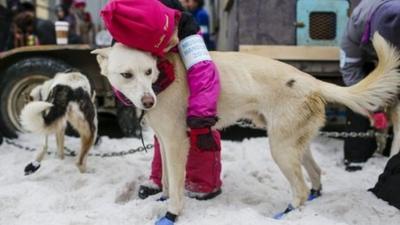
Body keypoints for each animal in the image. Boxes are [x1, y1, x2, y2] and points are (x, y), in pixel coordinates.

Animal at [92, 34, 400, 219]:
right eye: (127, 75)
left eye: (148, 72)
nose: (148, 100)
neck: (163, 79)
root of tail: (311, 81)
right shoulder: (165, 142)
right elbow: (167, 180)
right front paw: (161, 200)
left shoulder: (177, 143)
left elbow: (177, 187)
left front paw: (172, 214)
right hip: (295, 145)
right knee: (315, 174)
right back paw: (311, 199)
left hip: (280, 149)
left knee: (300, 188)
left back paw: (286, 214)